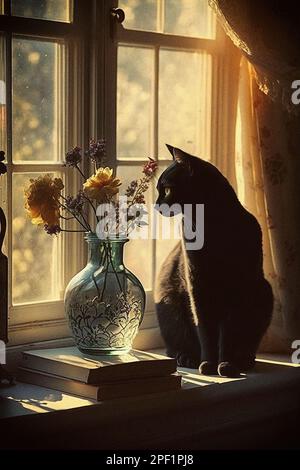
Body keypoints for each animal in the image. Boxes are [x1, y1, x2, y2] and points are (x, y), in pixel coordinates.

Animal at [155, 144, 274, 378]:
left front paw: (226, 364)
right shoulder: (198, 286)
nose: (156, 205)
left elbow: (228, 332)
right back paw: (188, 357)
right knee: (175, 346)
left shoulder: (237, 289)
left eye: (166, 189)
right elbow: (205, 330)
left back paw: (243, 360)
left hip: (264, 293)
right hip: (168, 302)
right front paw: (209, 364)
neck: (212, 226)